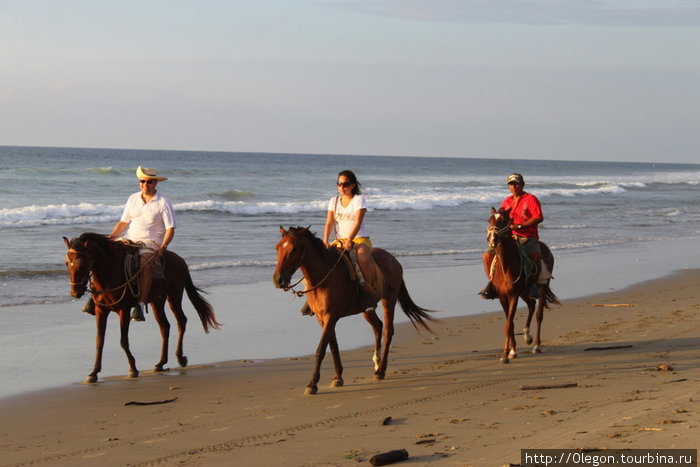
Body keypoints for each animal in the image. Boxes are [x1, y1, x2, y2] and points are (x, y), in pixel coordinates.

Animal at [65, 233, 221, 384]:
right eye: (67, 263)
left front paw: (133, 368)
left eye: (82, 263)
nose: (75, 292)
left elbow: (123, 341)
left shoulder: (124, 310)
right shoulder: (101, 311)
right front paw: (94, 372)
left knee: (181, 321)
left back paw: (180, 357)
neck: (110, 275)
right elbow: (99, 342)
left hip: (174, 296)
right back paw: (160, 363)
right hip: (157, 301)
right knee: (165, 327)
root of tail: (180, 260)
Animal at [270, 227, 434, 394]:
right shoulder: (322, 318)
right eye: (277, 248)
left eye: (294, 249)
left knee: (388, 331)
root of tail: (394, 260)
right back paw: (376, 364)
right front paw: (338, 377)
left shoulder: (331, 316)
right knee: (378, 326)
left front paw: (312, 384)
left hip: (389, 300)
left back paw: (381, 371)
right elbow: (333, 346)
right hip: (366, 309)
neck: (324, 276)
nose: (278, 280)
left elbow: (321, 349)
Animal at [484, 208, 560, 366]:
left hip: (542, 285)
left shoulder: (513, 295)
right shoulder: (503, 297)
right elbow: (510, 323)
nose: (492, 239)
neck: (506, 266)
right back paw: (527, 336)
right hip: (524, 292)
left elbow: (508, 325)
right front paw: (512, 351)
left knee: (539, 314)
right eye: (490, 220)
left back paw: (536, 345)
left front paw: (505, 355)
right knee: (531, 305)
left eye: (503, 221)